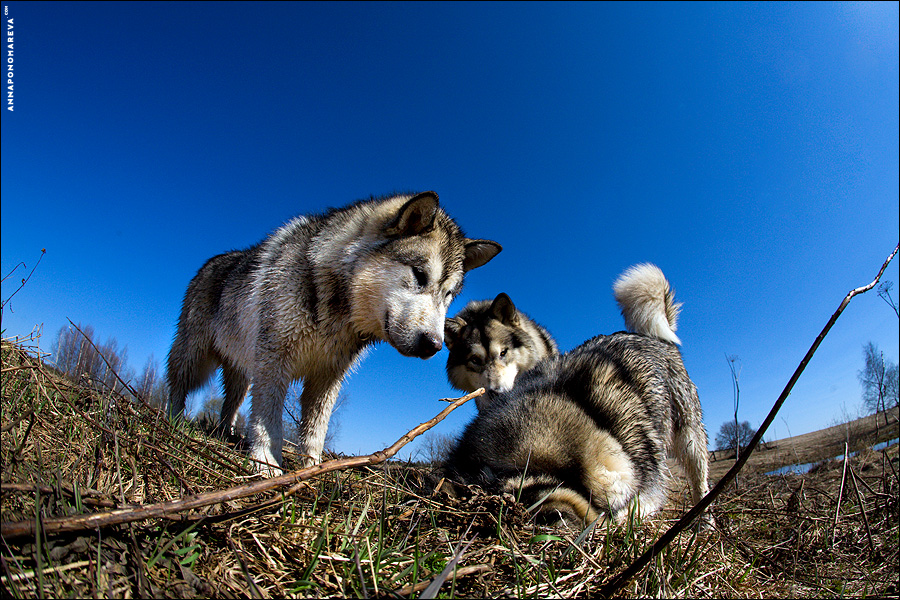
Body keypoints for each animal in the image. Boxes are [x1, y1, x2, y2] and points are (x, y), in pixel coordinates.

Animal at [167, 192, 500, 474]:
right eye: (419, 275)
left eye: (448, 295)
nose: (433, 344)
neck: (336, 311)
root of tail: (212, 261)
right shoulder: (273, 365)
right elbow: (267, 419)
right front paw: (266, 463)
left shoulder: (327, 379)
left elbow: (316, 431)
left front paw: (312, 469)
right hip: (194, 358)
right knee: (177, 386)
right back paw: (172, 421)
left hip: (241, 372)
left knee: (230, 403)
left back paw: (226, 433)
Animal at [442, 264, 712, 528]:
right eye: (475, 360)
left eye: (503, 353)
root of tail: (653, 337)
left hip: (690, 438)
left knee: (700, 481)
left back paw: (704, 522)